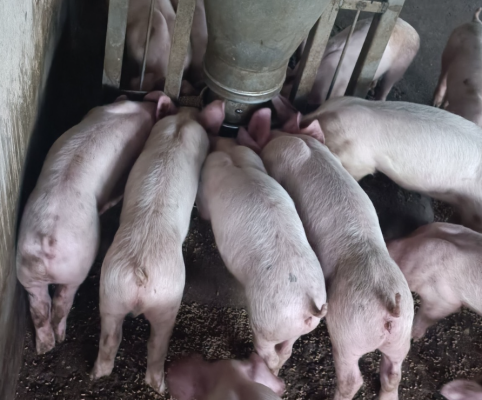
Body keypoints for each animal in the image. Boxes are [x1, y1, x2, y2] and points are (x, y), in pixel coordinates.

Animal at [16, 98, 157, 355]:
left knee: (40, 309)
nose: (152, 102)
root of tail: (47, 241)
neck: (136, 111)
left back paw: (45, 347)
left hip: (26, 272)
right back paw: (60, 338)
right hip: (76, 270)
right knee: (61, 303)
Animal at [89, 92, 224, 393]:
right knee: (156, 345)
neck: (182, 122)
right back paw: (160, 386)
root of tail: (141, 269)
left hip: (110, 292)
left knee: (109, 339)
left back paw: (96, 375)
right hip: (168, 300)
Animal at [196, 130, 328, 375]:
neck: (233, 158)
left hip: (265, 323)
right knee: (286, 350)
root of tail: (308, 303)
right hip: (295, 328)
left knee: (270, 353)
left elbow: (204, 209)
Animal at [238, 102, 413, 400]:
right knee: (394, 373)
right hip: (402, 336)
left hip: (347, 332)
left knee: (352, 379)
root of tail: (390, 306)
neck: (301, 140)